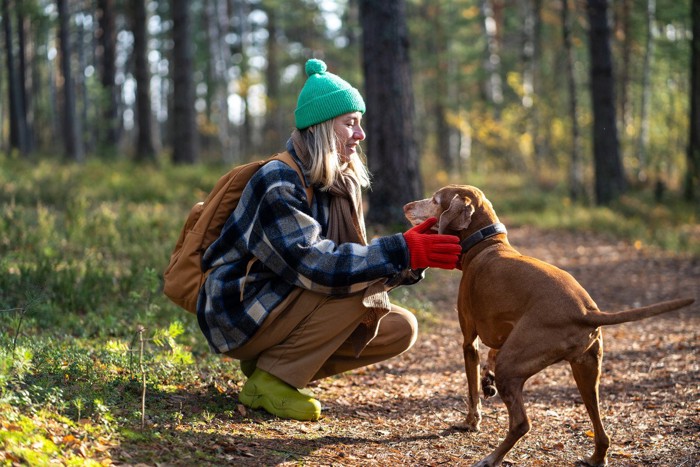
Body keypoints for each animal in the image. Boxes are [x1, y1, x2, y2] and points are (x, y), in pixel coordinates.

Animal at [402, 186, 696, 467]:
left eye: (435, 199)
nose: (406, 206)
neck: (486, 244)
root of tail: (586, 311)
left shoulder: (469, 340)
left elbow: (472, 391)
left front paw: (470, 421)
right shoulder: (505, 331)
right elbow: (491, 355)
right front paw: (487, 379)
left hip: (516, 364)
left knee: (522, 423)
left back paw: (490, 459)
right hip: (586, 372)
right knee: (601, 429)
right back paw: (596, 458)